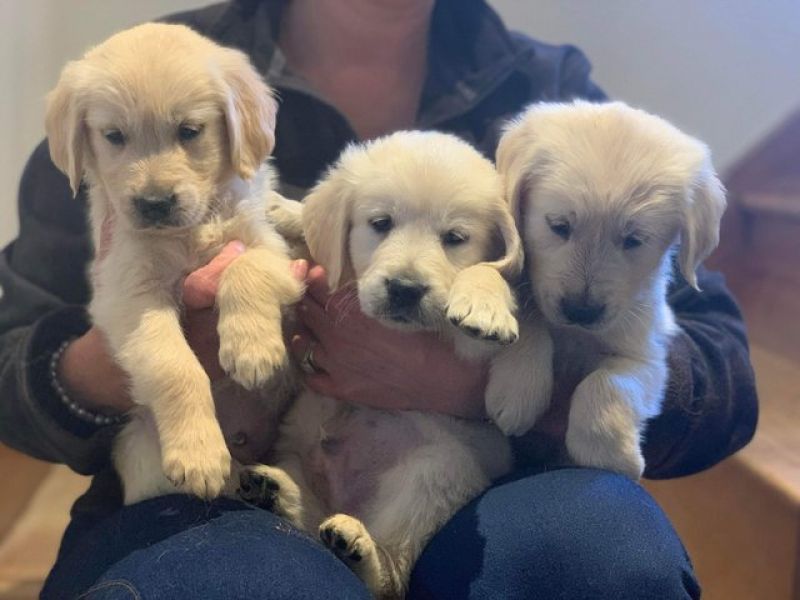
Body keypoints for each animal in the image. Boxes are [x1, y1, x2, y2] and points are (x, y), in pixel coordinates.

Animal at [47, 22, 304, 502]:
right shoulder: (130, 294)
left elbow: (245, 268)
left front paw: (252, 349)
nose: (154, 204)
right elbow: (174, 366)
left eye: (190, 130)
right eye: (114, 136)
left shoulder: (269, 246)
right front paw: (199, 454)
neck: (188, 232)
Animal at [238, 131, 536, 596]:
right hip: (298, 454)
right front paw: (285, 210)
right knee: (310, 522)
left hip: (433, 476)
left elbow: (500, 290)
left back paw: (358, 548)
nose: (405, 288)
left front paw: (487, 307)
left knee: (390, 577)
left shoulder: (458, 342)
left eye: (455, 237)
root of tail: (347, 500)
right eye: (380, 223)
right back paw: (276, 491)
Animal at [496, 102, 728, 478]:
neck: (575, 335)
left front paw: (608, 455)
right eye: (558, 225)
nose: (580, 311)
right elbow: (530, 319)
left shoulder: (649, 356)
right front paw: (518, 389)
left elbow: (608, 383)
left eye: (633, 240)